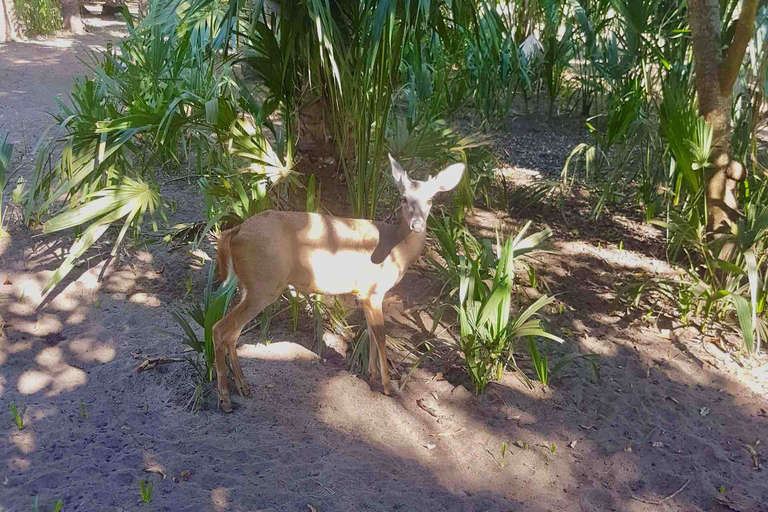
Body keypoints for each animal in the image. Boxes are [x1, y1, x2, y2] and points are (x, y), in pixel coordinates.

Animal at [212, 153, 462, 412]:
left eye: (431, 199)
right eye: (403, 198)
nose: (417, 225)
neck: (398, 248)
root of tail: (235, 231)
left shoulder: (365, 292)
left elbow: (370, 332)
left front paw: (372, 374)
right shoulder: (373, 289)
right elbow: (381, 335)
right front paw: (387, 386)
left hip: (250, 286)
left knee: (232, 332)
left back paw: (243, 387)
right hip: (264, 285)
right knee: (219, 328)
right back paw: (225, 399)